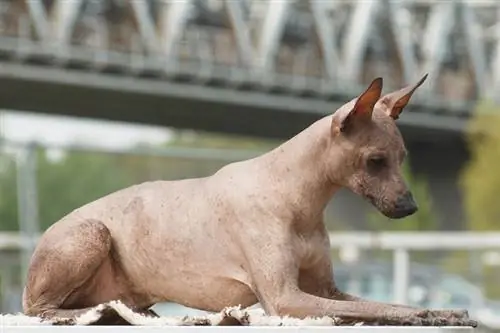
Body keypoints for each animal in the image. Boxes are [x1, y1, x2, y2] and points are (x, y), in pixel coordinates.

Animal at [22, 74, 476, 324]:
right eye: (375, 161)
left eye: (403, 159)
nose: (410, 208)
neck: (299, 200)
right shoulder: (285, 299)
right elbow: (385, 309)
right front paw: (424, 313)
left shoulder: (328, 293)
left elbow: (384, 302)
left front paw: (446, 312)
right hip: (91, 234)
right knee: (40, 309)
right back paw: (101, 313)